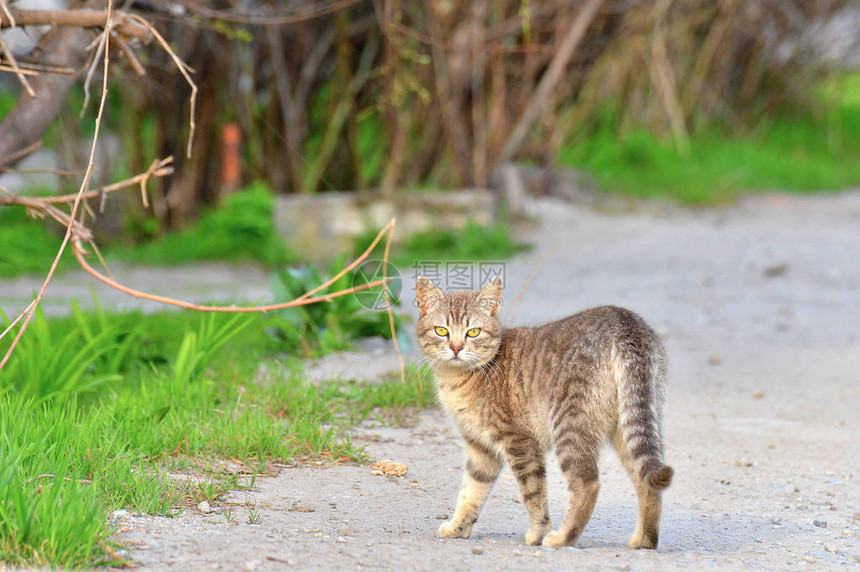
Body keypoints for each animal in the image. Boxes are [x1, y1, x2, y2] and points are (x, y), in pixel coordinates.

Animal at [414, 278, 672, 548]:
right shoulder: (481, 448)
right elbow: (471, 492)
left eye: (473, 332)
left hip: (568, 424)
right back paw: (645, 540)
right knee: (646, 482)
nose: (456, 348)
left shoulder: (520, 442)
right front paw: (458, 527)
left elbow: (534, 493)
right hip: (632, 428)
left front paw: (539, 532)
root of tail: (622, 321)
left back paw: (561, 537)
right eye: (441, 330)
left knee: (587, 484)